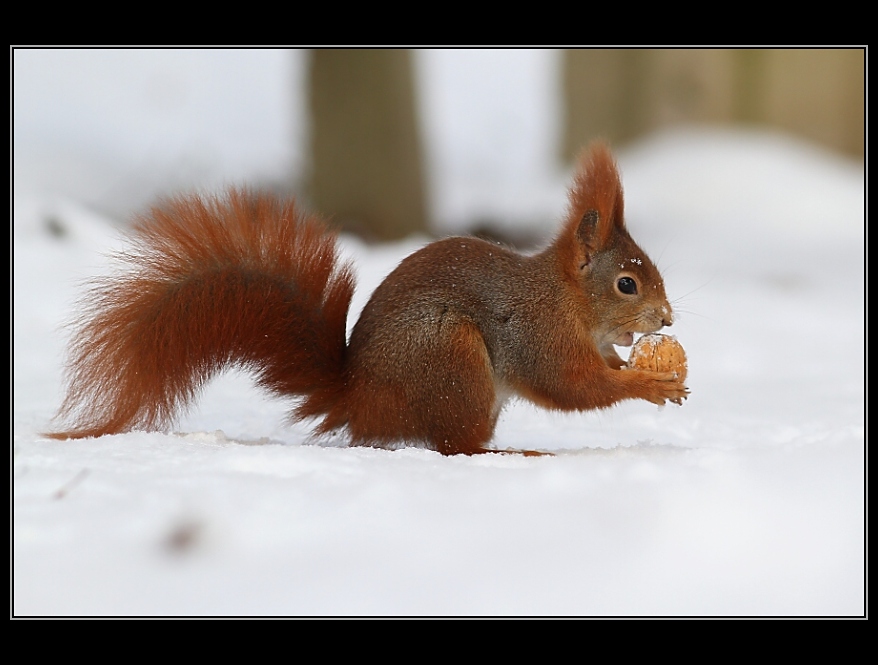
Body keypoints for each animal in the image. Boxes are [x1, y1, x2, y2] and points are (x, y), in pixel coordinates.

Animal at [48, 139, 688, 452]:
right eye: (627, 283)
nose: (666, 318)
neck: (569, 300)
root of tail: (358, 401)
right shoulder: (537, 331)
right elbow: (572, 386)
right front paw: (649, 383)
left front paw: (654, 376)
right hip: (450, 359)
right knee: (456, 448)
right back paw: (513, 455)